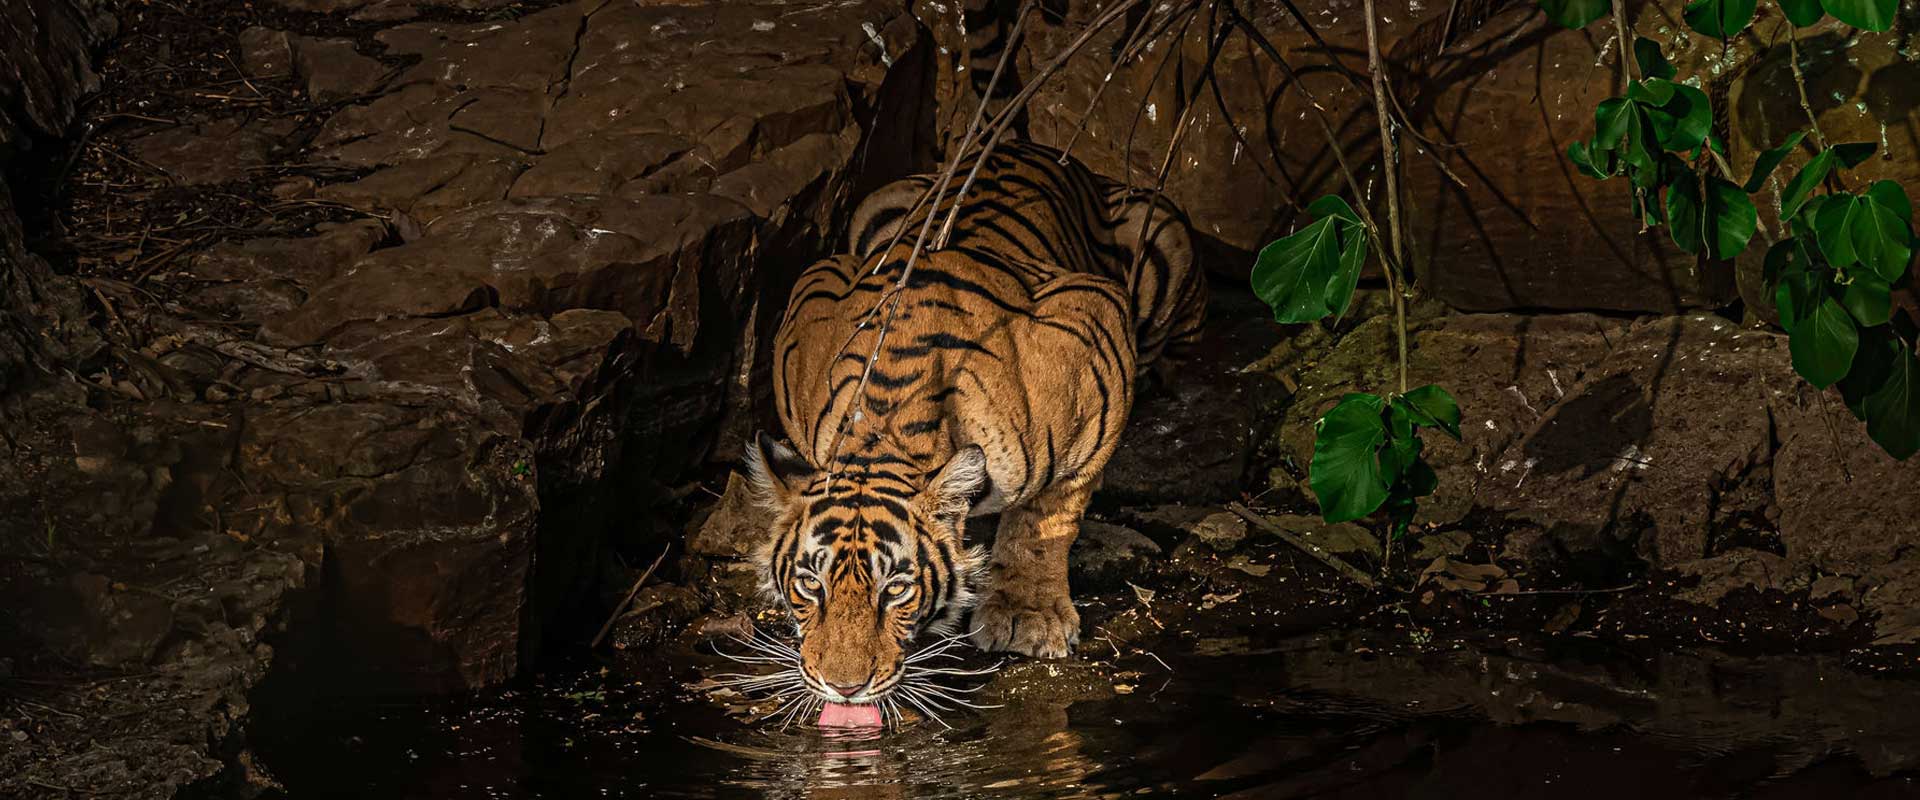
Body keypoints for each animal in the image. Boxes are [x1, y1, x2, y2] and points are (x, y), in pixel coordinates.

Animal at [743, 138, 1207, 715]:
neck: (883, 430)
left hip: (1163, 232)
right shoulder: (814, 294)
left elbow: (1046, 518)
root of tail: (1030, 144)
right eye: (811, 583)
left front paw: (1028, 615)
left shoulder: (1097, 339)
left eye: (896, 589)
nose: (843, 688)